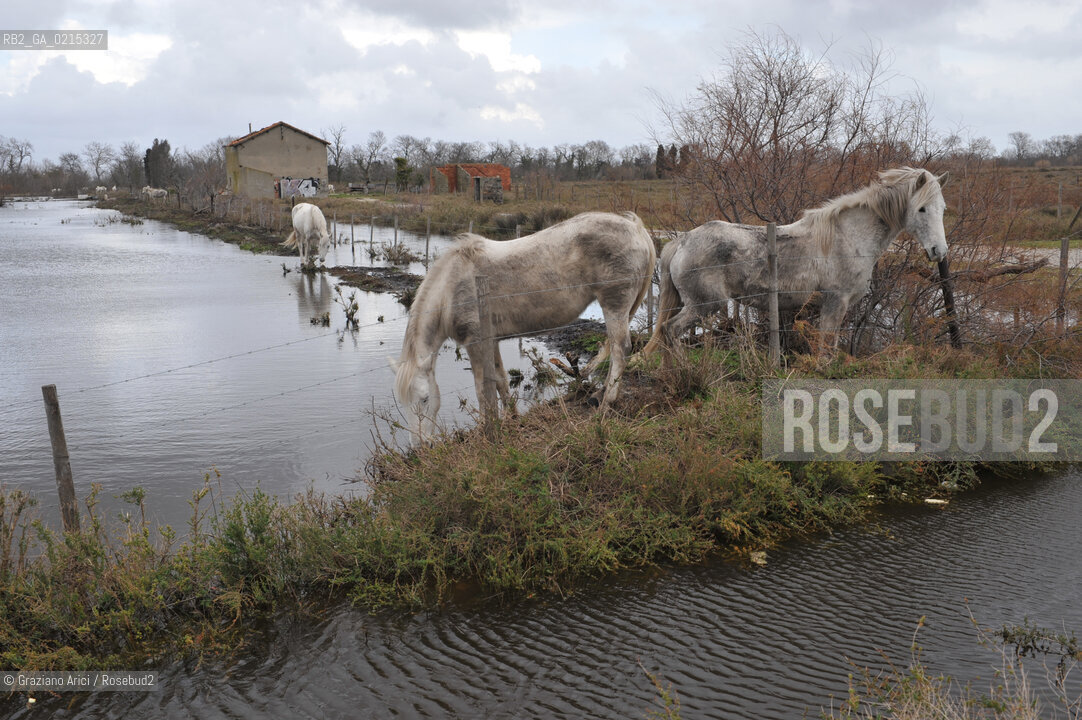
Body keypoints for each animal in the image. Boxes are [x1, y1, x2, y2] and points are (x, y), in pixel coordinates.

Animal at [389, 211, 656, 444]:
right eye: (403, 403)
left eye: (425, 399)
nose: (420, 445)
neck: (451, 289)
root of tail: (636, 228)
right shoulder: (491, 341)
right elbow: (500, 381)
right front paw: (511, 417)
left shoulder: (475, 343)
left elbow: (482, 388)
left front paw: (485, 429)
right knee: (613, 352)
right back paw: (598, 396)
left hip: (614, 304)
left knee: (620, 350)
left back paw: (607, 404)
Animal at [642, 167, 949, 357]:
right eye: (922, 209)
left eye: (943, 208)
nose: (939, 251)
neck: (848, 237)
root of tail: (682, 241)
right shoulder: (836, 301)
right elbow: (826, 349)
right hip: (705, 305)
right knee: (671, 331)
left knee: (666, 332)